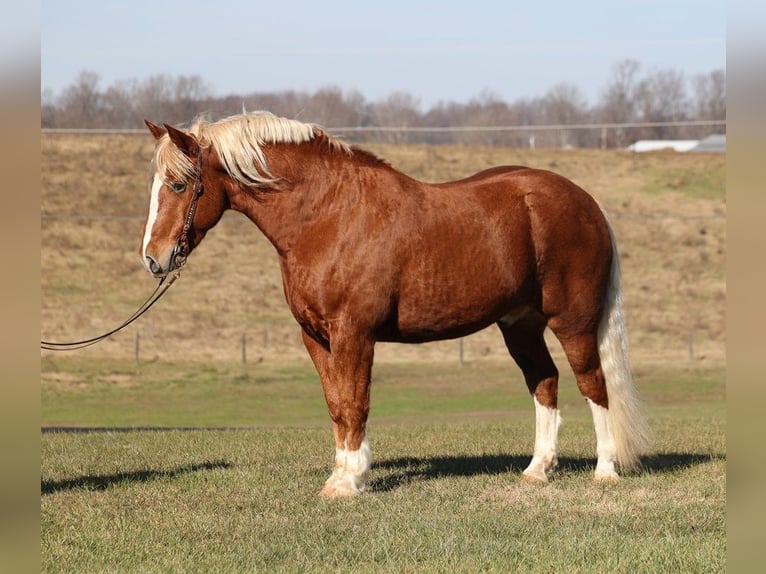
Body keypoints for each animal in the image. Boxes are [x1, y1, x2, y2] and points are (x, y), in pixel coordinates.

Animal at [141, 110, 652, 498]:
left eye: (179, 185)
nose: (153, 258)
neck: (327, 216)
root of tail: (586, 202)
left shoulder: (354, 334)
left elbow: (355, 403)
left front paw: (352, 480)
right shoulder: (316, 338)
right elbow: (336, 404)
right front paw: (339, 476)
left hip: (573, 322)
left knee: (593, 384)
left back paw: (605, 471)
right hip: (520, 325)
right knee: (544, 382)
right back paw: (537, 470)